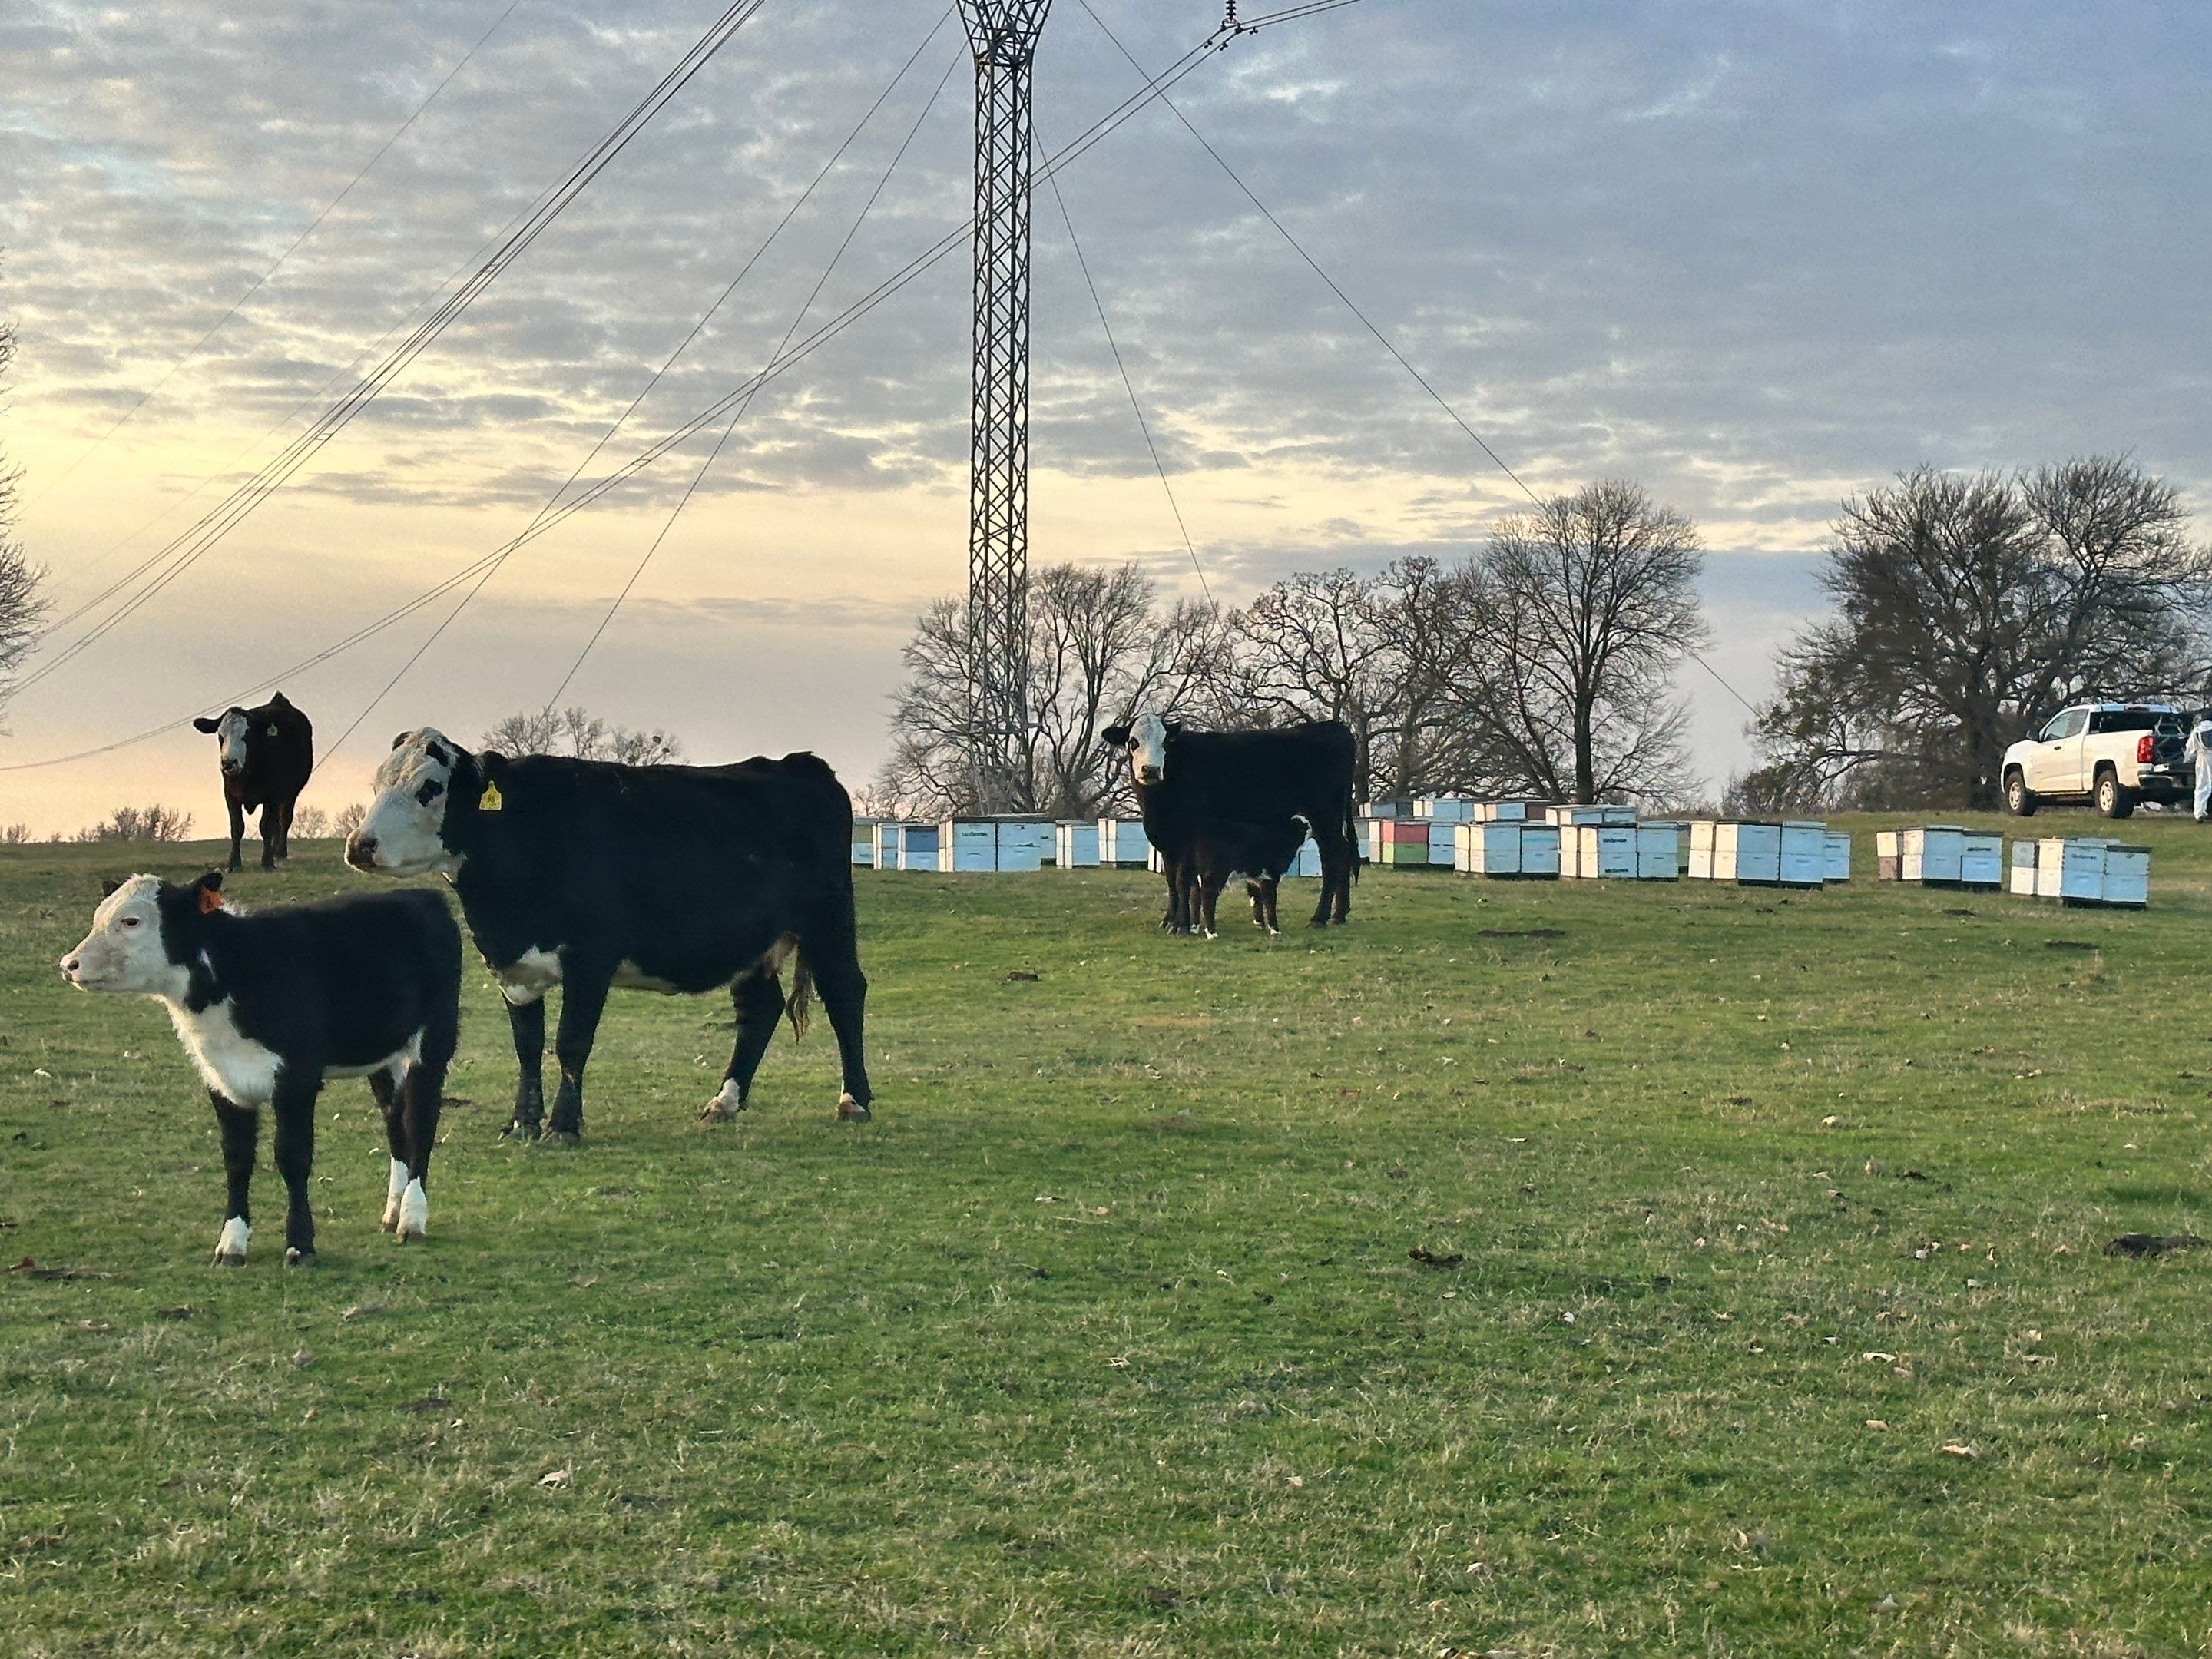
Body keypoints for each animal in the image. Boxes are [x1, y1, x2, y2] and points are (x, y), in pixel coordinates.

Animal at [59, 871, 461, 1267]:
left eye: (131, 921)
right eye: (98, 917)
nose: (68, 965)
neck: (234, 975)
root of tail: (422, 896)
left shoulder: (297, 1078)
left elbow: (292, 1157)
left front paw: (300, 1245)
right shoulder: (222, 1081)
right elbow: (236, 1160)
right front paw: (231, 1243)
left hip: (433, 1043)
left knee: (420, 1123)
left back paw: (411, 1219)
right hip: (383, 1056)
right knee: (395, 1121)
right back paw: (393, 1212)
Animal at [192, 692, 314, 872]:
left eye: (247, 734)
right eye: (221, 736)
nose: (228, 763)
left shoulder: (272, 795)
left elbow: (266, 827)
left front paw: (267, 862)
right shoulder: (230, 793)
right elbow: (237, 827)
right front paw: (234, 862)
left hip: (290, 794)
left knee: (284, 820)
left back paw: (280, 853)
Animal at [344, 729, 873, 1144]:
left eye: (429, 788)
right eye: (376, 784)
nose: (359, 845)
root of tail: (800, 764)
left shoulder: (590, 958)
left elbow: (571, 1042)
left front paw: (563, 1126)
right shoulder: (513, 968)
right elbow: (527, 1046)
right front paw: (521, 1124)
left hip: (828, 920)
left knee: (845, 993)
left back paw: (855, 1101)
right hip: (752, 943)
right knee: (759, 1010)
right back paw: (724, 1101)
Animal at [1177, 813, 1311, 938]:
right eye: (1304, 825)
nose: (1310, 827)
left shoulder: (1256, 878)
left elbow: (1256, 897)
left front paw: (1260, 924)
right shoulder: (1270, 876)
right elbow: (1270, 902)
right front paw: (1275, 930)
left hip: (1196, 870)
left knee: (1195, 893)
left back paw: (1194, 927)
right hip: (1216, 872)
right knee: (1207, 894)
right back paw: (1211, 933)